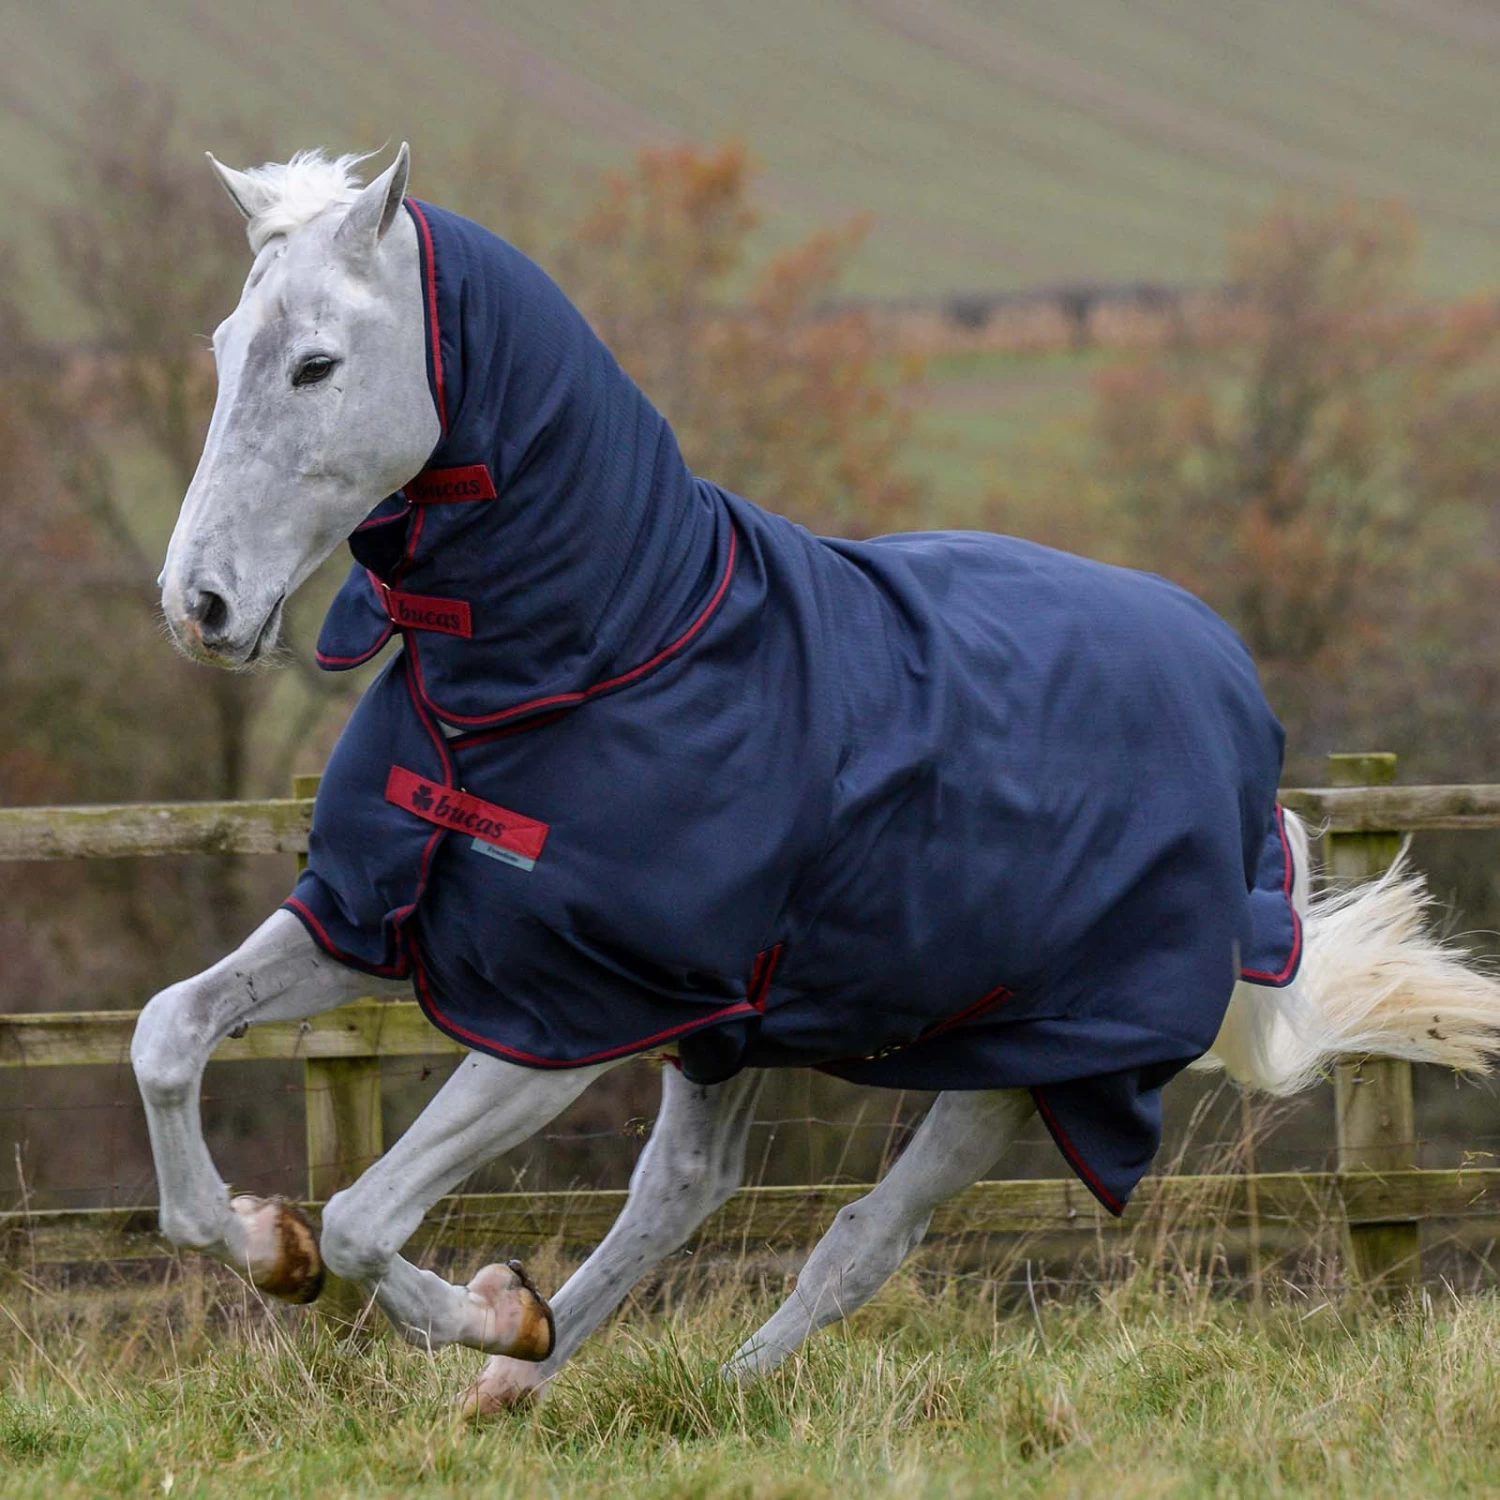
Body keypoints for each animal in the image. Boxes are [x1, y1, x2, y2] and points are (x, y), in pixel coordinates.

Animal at [134, 144, 1500, 1413]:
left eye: (316, 366)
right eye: (224, 347)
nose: (198, 606)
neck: (597, 652)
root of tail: (1234, 694)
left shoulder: (566, 1011)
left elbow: (366, 1220)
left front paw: (481, 1303)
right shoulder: (375, 920)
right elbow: (167, 1036)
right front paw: (266, 1242)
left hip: (1027, 1063)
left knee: (860, 1240)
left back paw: (676, 1379)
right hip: (743, 1028)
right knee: (683, 1190)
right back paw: (518, 1386)